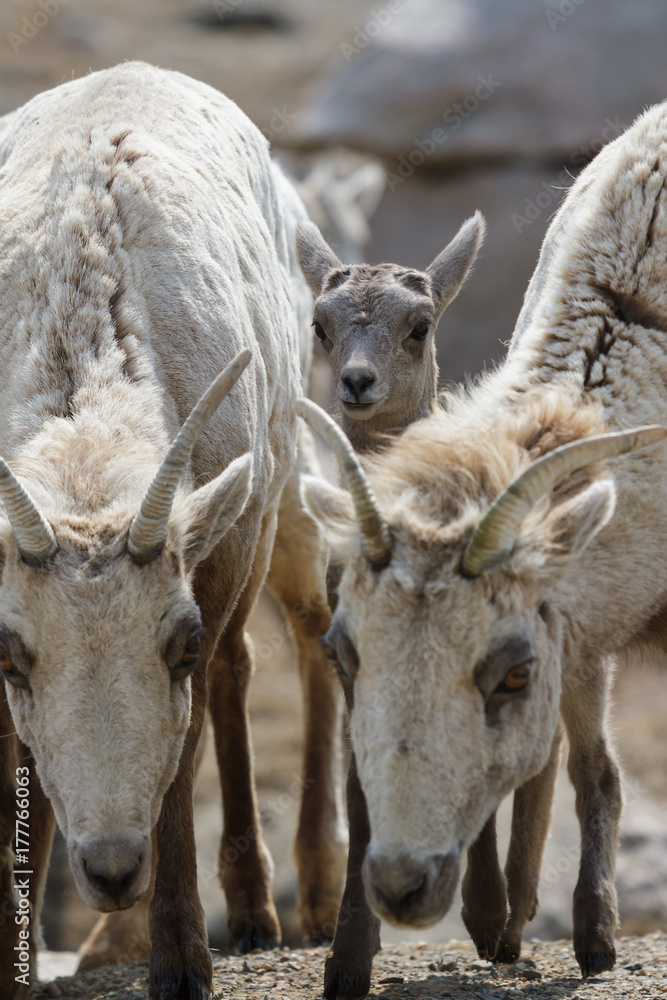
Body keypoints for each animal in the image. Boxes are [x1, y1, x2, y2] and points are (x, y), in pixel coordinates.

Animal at [0, 61, 321, 1000]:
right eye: (11, 656)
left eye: (174, 644)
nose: (110, 870)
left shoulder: (212, 568)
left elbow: (185, 751)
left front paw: (180, 963)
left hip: (265, 510)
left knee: (243, 670)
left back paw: (259, 912)